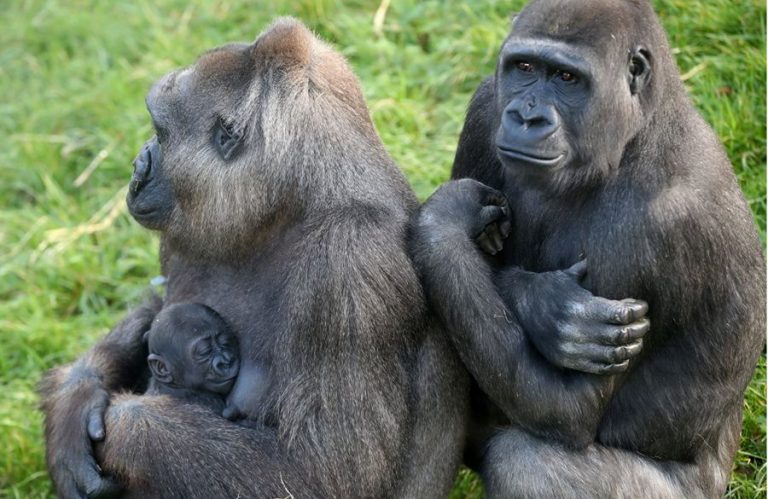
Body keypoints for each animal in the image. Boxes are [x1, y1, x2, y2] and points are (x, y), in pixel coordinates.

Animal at [42, 19, 472, 499]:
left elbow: (324, 475)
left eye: (159, 130)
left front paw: (123, 422)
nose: (138, 164)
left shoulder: (350, 263)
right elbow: (155, 310)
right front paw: (75, 401)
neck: (292, 200)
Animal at [412, 0, 764, 498]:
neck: (637, 132)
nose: (526, 118)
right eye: (524, 68)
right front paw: (546, 302)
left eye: (567, 78)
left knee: (525, 462)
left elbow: (569, 409)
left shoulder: (654, 225)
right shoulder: (484, 108)